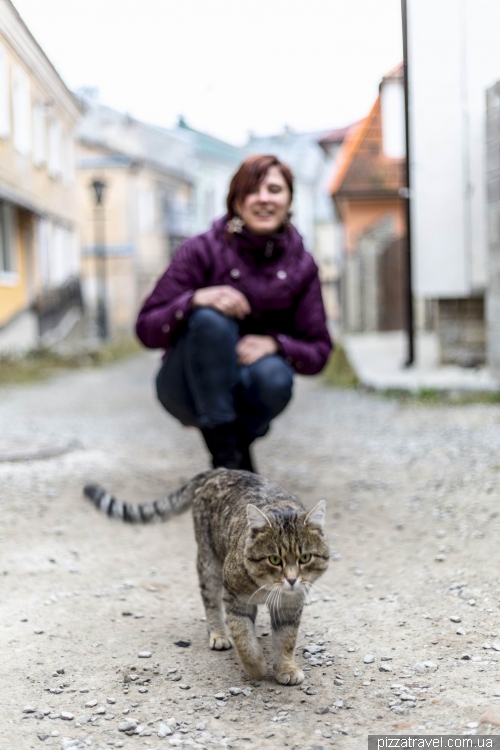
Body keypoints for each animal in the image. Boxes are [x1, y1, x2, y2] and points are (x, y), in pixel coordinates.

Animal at [84, 470, 330, 688]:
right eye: (275, 560)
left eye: (305, 558)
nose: (292, 580)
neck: (268, 588)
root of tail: (220, 470)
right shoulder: (234, 598)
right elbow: (244, 638)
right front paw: (256, 666)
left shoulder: (291, 605)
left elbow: (286, 639)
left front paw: (285, 668)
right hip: (208, 563)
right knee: (211, 603)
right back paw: (219, 633)